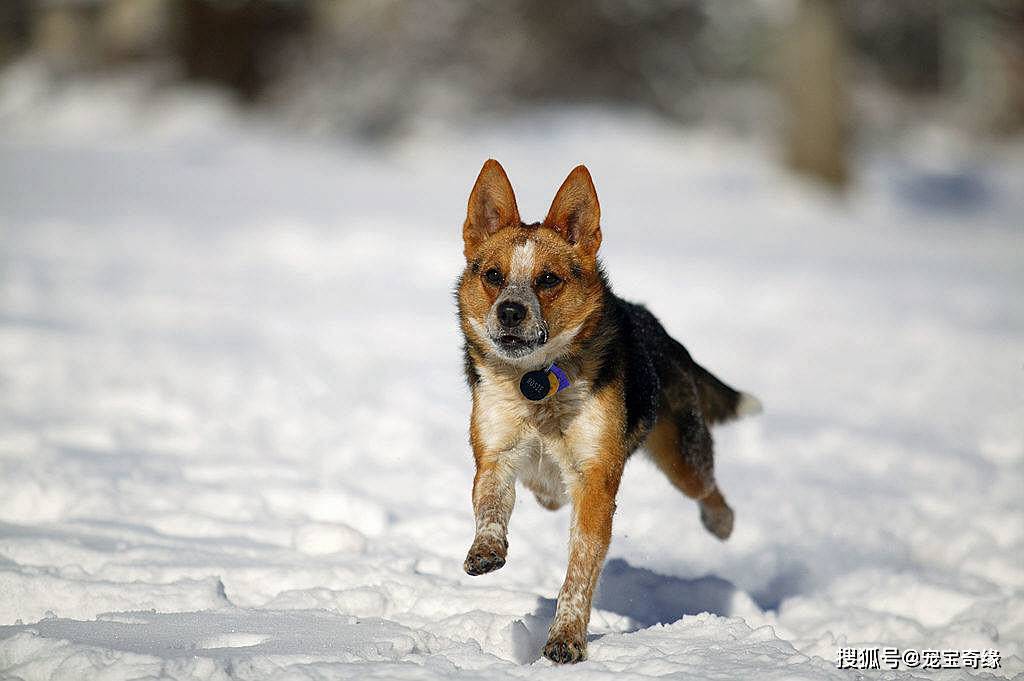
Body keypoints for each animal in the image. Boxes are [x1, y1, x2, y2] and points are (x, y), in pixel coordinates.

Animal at [456, 160, 761, 663]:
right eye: (494, 275)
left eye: (548, 279)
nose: (510, 311)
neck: (537, 382)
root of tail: (660, 330)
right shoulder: (496, 450)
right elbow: (490, 505)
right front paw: (486, 550)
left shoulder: (595, 477)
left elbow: (581, 567)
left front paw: (566, 640)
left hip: (682, 456)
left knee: (709, 490)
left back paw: (720, 522)